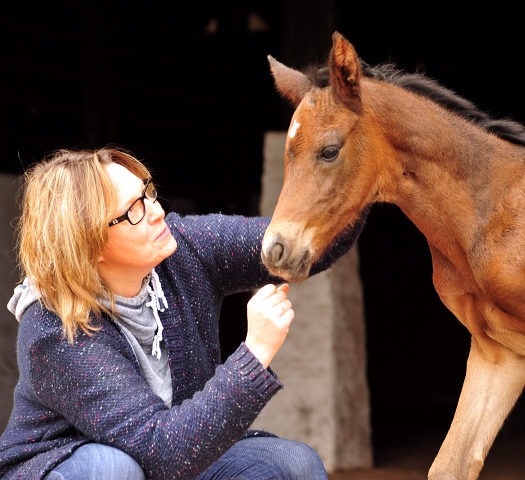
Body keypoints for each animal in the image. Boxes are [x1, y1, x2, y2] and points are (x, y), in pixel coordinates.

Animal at [262, 31, 525, 480]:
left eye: (330, 151)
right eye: (288, 152)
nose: (275, 249)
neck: (494, 207)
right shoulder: (499, 352)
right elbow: (450, 466)